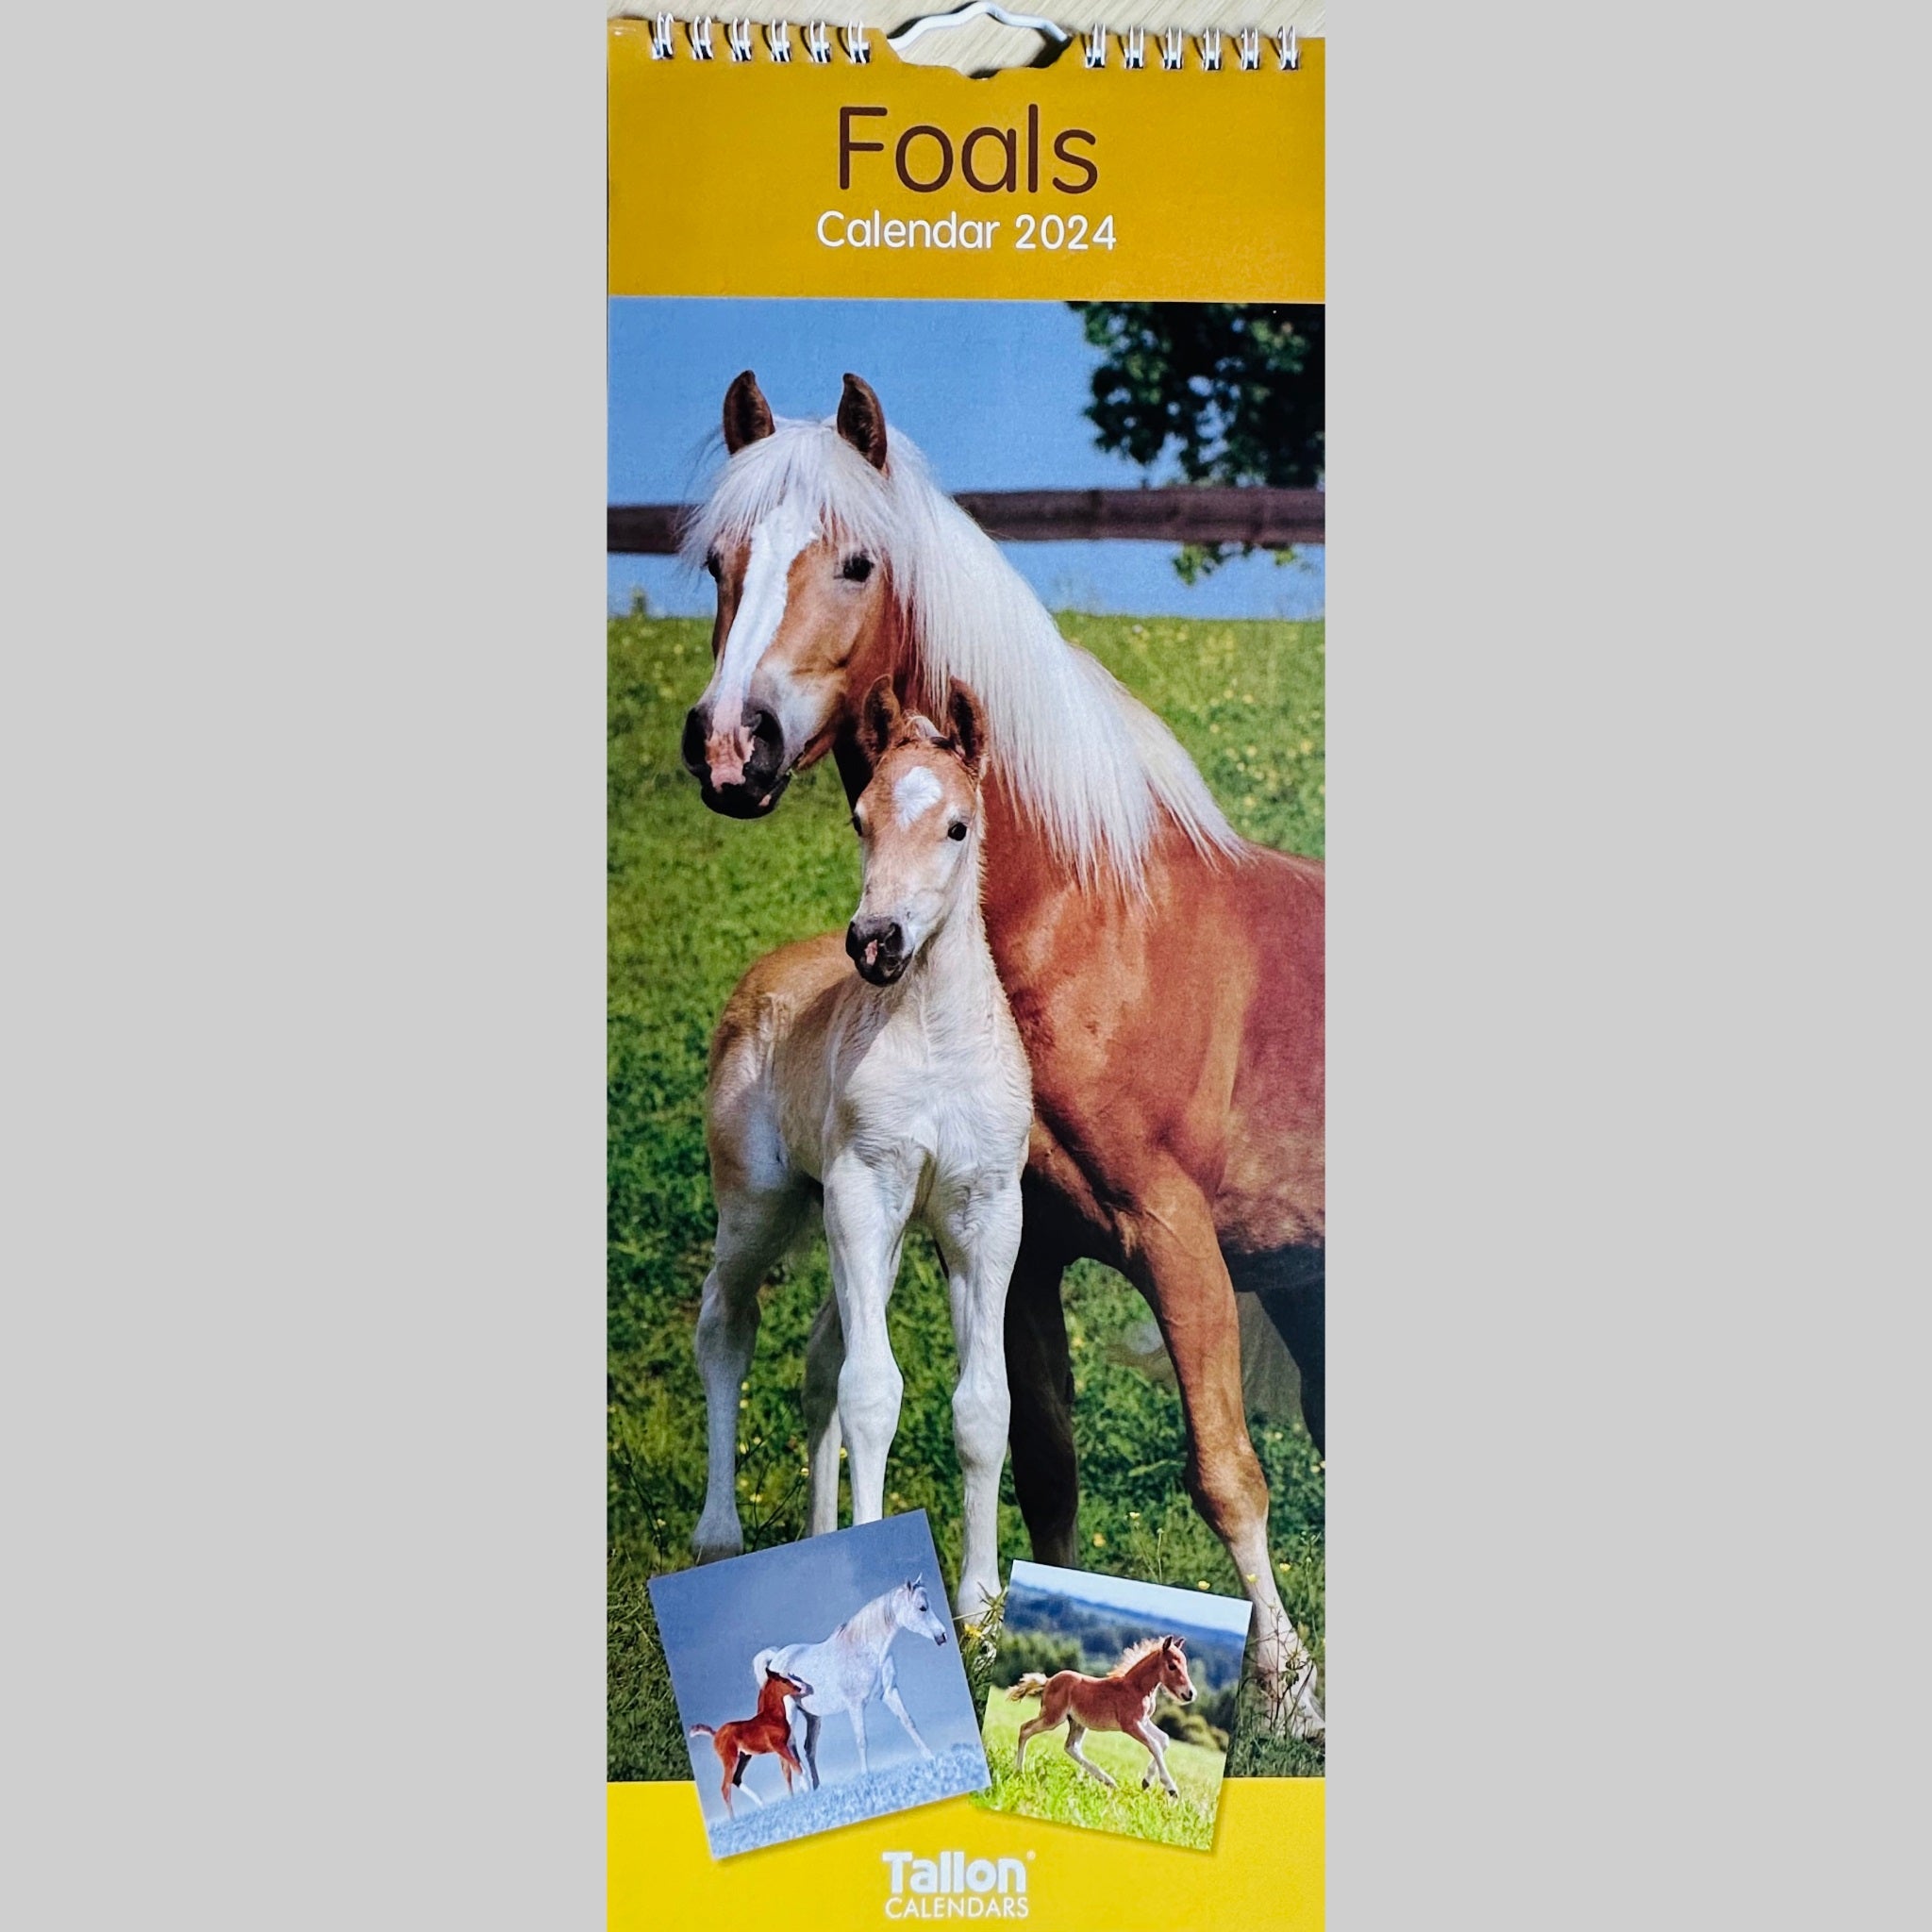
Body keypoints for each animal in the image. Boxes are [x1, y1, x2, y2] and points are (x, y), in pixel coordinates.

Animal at [688, 1667, 813, 1816]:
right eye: (783, 1680)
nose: (805, 1687)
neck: (772, 1717)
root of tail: (715, 1734)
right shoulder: (779, 1747)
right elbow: (797, 1768)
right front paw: (807, 1791)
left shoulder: (784, 1747)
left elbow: (789, 1772)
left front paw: (797, 1797)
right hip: (730, 1759)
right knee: (725, 1788)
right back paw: (734, 1819)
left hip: (744, 1757)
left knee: (735, 1779)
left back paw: (761, 1803)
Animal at [690, 680, 1032, 1618]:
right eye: (859, 819)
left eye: (957, 826)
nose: (877, 942)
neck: (938, 1043)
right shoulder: (862, 1192)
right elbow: (875, 1392)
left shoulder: (985, 1214)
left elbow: (982, 1405)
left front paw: (979, 1606)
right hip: (764, 1205)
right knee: (726, 1322)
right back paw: (718, 1535)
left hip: (863, 1237)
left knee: (818, 1360)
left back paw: (817, 1538)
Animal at [753, 1576, 952, 1787]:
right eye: (922, 1608)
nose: (943, 1636)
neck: (867, 1651)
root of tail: (775, 1659)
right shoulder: (855, 1705)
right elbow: (861, 1740)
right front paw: (867, 1778)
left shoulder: (890, 1692)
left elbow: (909, 1722)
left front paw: (931, 1758)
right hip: (789, 1714)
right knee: (789, 1748)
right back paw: (805, 1787)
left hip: (813, 1717)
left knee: (808, 1749)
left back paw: (817, 1788)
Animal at [1008, 1634, 1198, 1798]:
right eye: (1172, 1666)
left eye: (1185, 1666)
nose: (1190, 1694)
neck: (1136, 1688)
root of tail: (1048, 1681)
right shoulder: (1130, 1725)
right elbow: (1155, 1745)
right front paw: (1171, 1788)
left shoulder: (1143, 1721)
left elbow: (1164, 1740)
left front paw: (1146, 1781)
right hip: (1053, 1717)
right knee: (1025, 1729)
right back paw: (1018, 1772)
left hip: (1077, 1722)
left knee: (1071, 1747)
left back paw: (1108, 1781)